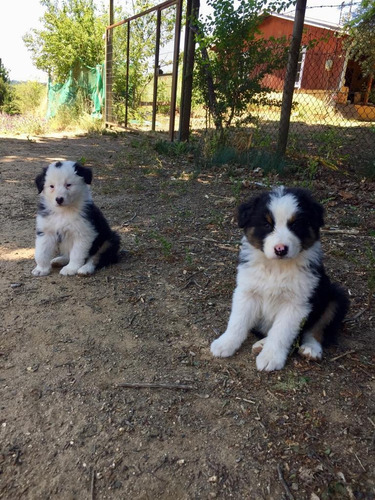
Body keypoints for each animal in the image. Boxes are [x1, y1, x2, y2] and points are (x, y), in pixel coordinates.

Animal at [212, 187, 350, 372]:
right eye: (267, 225)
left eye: (296, 225)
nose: (280, 249)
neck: (276, 268)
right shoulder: (247, 292)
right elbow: (237, 321)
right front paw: (225, 343)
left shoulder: (296, 304)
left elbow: (281, 332)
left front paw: (270, 358)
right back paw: (261, 344)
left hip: (335, 296)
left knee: (316, 329)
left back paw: (311, 348)